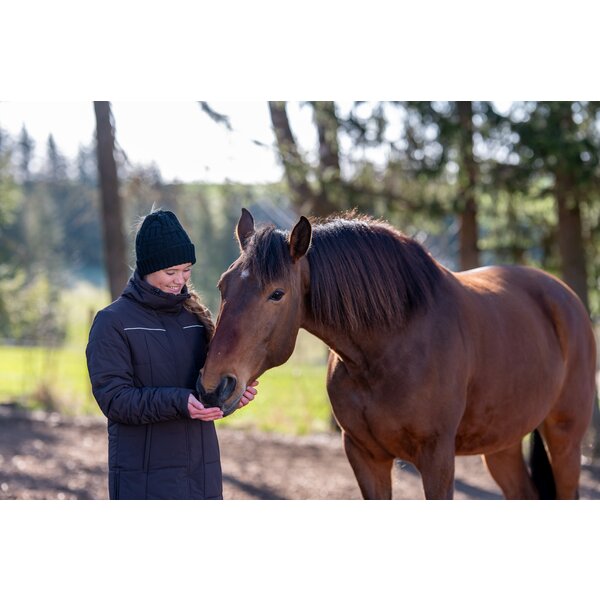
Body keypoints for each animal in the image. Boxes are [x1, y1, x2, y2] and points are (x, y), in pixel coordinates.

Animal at [198, 209, 597, 499]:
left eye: (277, 294)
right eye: (223, 285)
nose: (214, 385)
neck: (387, 347)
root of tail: (565, 297)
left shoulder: (437, 458)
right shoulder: (364, 455)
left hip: (564, 438)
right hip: (502, 445)